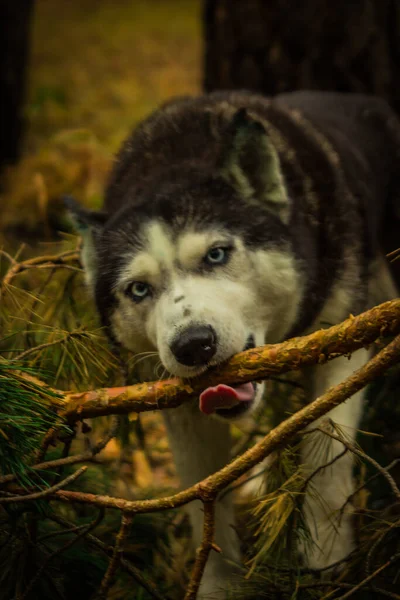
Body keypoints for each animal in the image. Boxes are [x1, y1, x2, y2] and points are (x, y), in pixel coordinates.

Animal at [67, 91, 398, 596]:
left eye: (217, 254)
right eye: (139, 289)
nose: (192, 345)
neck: (174, 160)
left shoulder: (342, 344)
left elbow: (326, 456)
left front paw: (326, 559)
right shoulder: (180, 407)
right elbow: (204, 496)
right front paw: (219, 586)